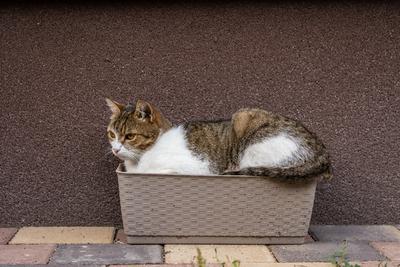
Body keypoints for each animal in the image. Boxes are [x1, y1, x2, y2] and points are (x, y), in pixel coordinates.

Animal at [105, 99, 332, 182]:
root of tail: (323, 154)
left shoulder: (198, 167)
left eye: (130, 136)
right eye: (111, 134)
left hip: (245, 124)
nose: (115, 149)